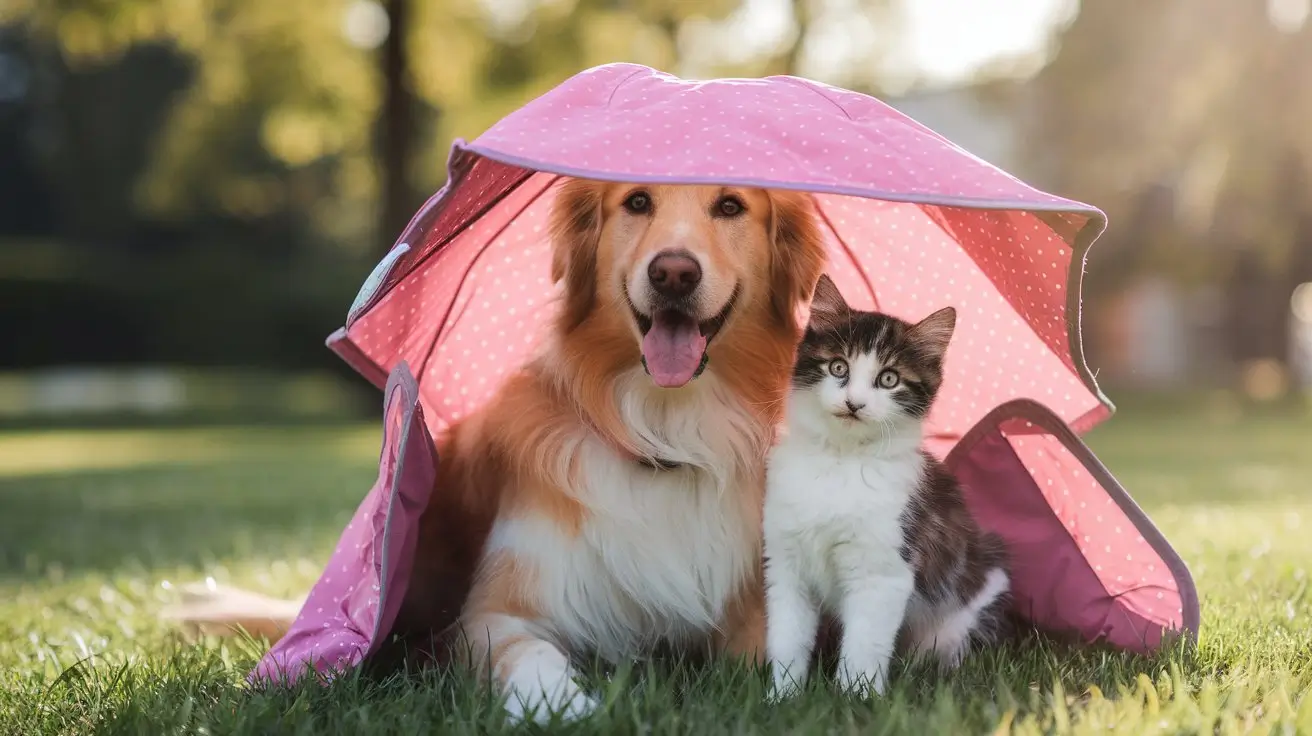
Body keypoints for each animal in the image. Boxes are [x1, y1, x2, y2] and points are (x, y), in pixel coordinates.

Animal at [164, 179, 823, 724]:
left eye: (731, 206)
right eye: (637, 201)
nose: (674, 274)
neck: (665, 430)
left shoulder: (751, 612)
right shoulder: (496, 614)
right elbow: (531, 656)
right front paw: (568, 710)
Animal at [766, 272, 1007, 697]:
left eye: (889, 379)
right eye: (838, 367)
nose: (855, 403)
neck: (841, 460)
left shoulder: (884, 569)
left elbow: (865, 644)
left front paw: (854, 697)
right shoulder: (786, 563)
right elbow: (787, 637)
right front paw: (782, 696)